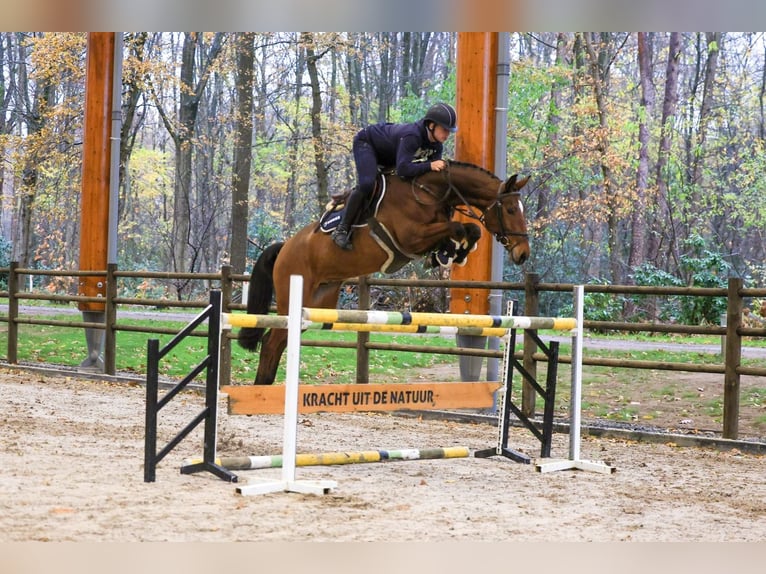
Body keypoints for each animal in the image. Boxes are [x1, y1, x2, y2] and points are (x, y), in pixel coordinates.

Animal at [237, 161, 532, 388]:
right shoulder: (412, 238)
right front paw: (451, 251)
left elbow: (472, 230)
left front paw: (452, 253)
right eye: (509, 210)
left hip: (316, 304)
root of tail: (284, 248)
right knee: (271, 342)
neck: (428, 193)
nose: (523, 254)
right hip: (294, 295)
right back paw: (260, 391)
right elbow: (458, 227)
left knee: (279, 340)